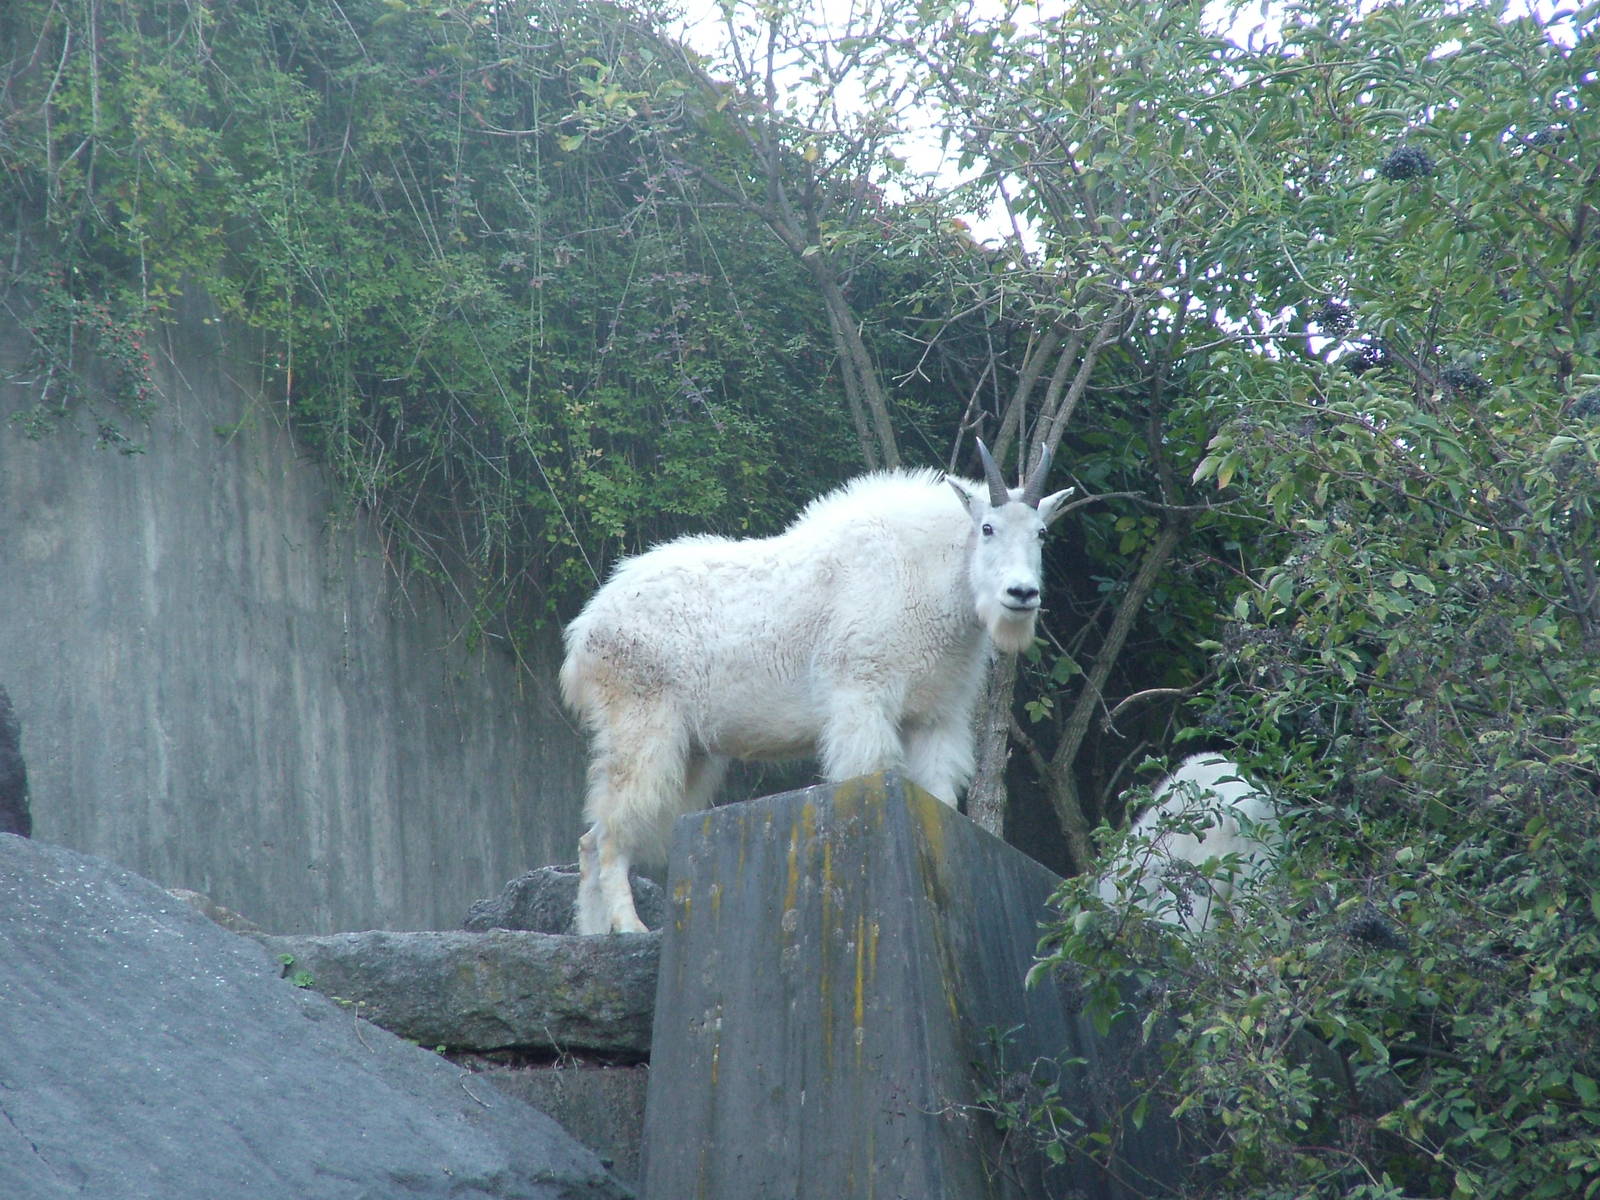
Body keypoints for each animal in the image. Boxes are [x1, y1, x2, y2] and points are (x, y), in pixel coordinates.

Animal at [560, 441, 1073, 933]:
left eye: (1042, 533)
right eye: (987, 528)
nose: (1022, 594)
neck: (929, 577)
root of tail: (585, 632)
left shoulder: (935, 717)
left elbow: (941, 798)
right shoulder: (863, 697)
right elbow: (871, 771)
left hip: (691, 751)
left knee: (590, 838)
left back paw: (593, 930)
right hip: (642, 724)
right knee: (610, 833)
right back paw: (629, 926)